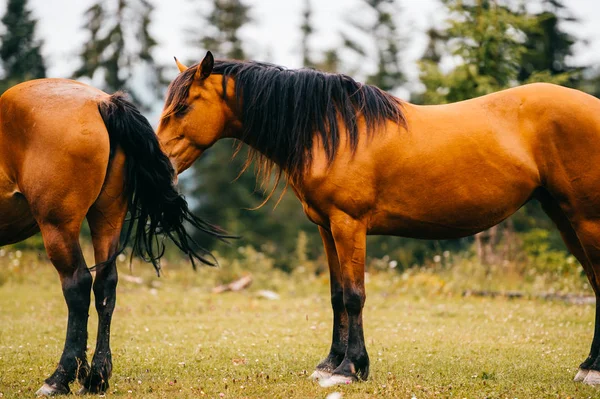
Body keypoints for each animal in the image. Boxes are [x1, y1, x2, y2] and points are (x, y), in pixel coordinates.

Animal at [0, 79, 225, 396]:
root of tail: (101, 102)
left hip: (58, 227)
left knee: (78, 286)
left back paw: (59, 379)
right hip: (107, 219)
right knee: (106, 286)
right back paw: (96, 377)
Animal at [156, 52, 600, 388]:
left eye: (183, 107)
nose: (161, 166)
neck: (332, 130)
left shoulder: (349, 224)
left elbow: (355, 296)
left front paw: (351, 369)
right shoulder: (326, 227)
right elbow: (337, 296)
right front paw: (329, 364)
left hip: (585, 219)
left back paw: (592, 369)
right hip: (564, 218)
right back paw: (588, 366)